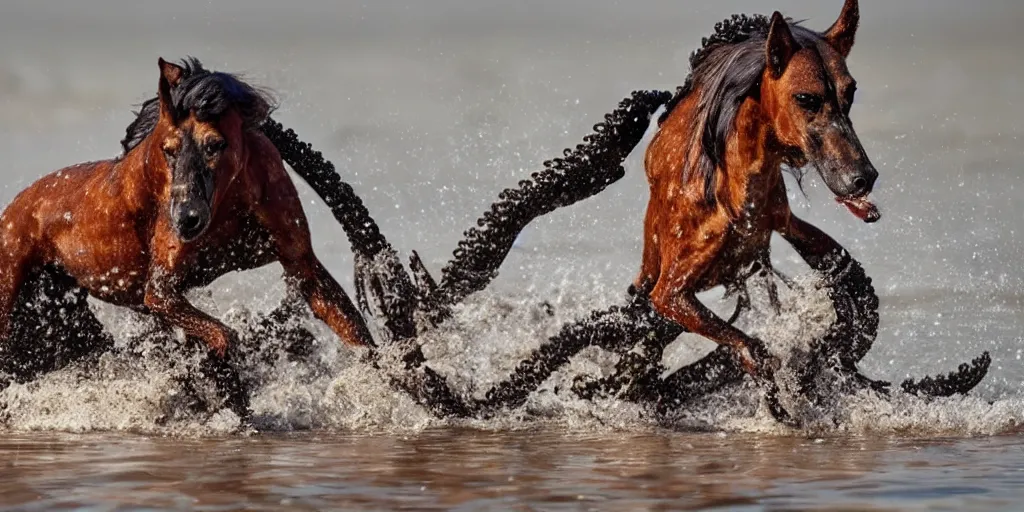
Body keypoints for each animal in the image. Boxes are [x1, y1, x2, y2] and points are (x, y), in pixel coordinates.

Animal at [0, 57, 374, 415]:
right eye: (168, 149)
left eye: (215, 145)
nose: (186, 220)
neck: (230, 199)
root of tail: (12, 212)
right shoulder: (161, 292)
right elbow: (221, 338)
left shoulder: (302, 267)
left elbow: (356, 334)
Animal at [634, 0, 876, 385]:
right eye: (806, 98)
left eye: (849, 92)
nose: (862, 178)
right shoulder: (669, 294)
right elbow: (751, 347)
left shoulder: (783, 222)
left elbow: (843, 269)